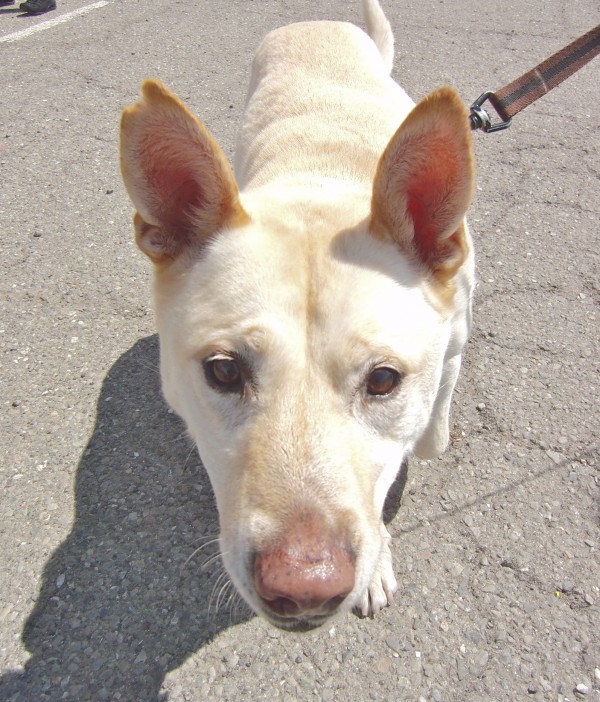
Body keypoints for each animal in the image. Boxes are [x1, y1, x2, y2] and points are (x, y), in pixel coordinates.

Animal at [120, 0, 474, 636]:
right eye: (223, 371)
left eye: (384, 380)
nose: (305, 588)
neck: (323, 178)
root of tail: (316, 22)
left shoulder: (453, 342)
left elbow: (420, 446)